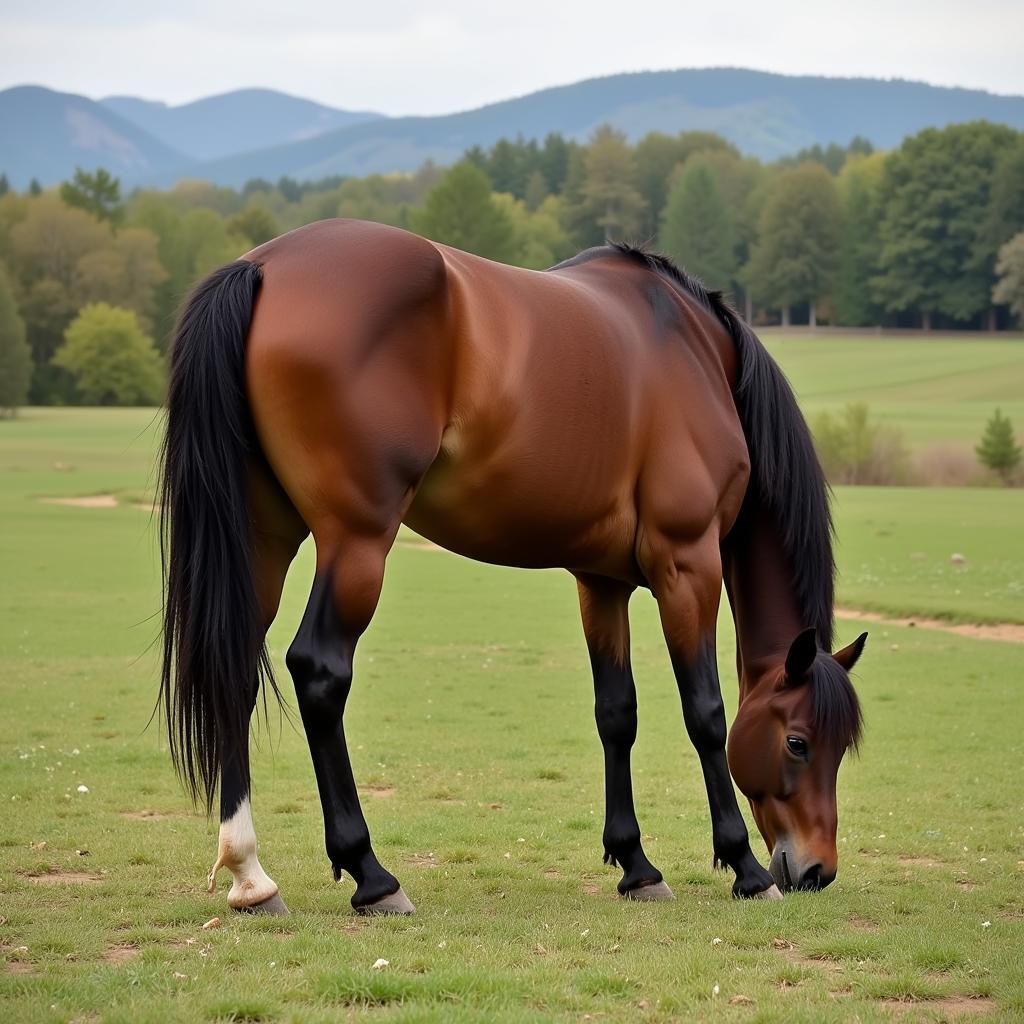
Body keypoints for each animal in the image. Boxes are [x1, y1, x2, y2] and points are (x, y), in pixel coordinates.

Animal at [159, 218, 864, 921]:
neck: (696, 351)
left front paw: (636, 865)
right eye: (798, 741)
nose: (817, 870)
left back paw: (251, 875)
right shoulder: (688, 562)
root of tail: (264, 266)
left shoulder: (601, 581)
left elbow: (617, 713)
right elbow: (706, 714)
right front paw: (745, 866)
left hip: (267, 535)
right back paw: (371, 874)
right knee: (319, 671)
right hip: (355, 541)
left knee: (235, 668)